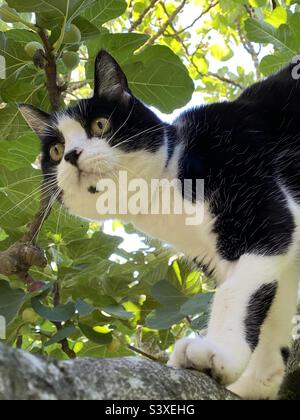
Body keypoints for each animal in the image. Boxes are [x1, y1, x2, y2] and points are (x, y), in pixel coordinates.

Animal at [18, 50, 300, 402]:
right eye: (55, 151)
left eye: (100, 124)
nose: (71, 154)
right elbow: (273, 307)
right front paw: (259, 381)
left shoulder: (257, 206)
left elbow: (236, 290)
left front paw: (219, 353)